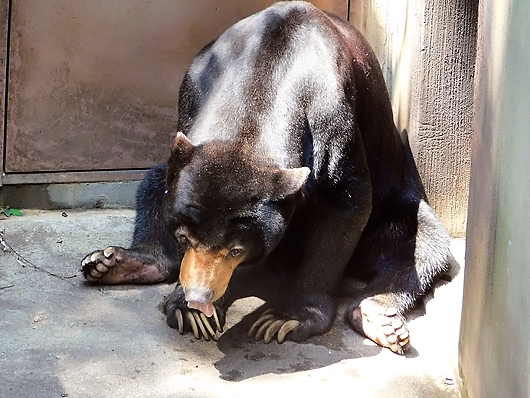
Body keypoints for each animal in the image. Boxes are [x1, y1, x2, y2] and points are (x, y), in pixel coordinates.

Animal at [81, 0, 450, 354]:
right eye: (184, 237)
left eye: (236, 248)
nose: (199, 298)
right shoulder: (193, 94)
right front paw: (189, 313)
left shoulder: (334, 116)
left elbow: (346, 202)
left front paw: (284, 319)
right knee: (154, 185)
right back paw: (113, 263)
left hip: (398, 202)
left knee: (420, 244)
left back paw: (378, 317)